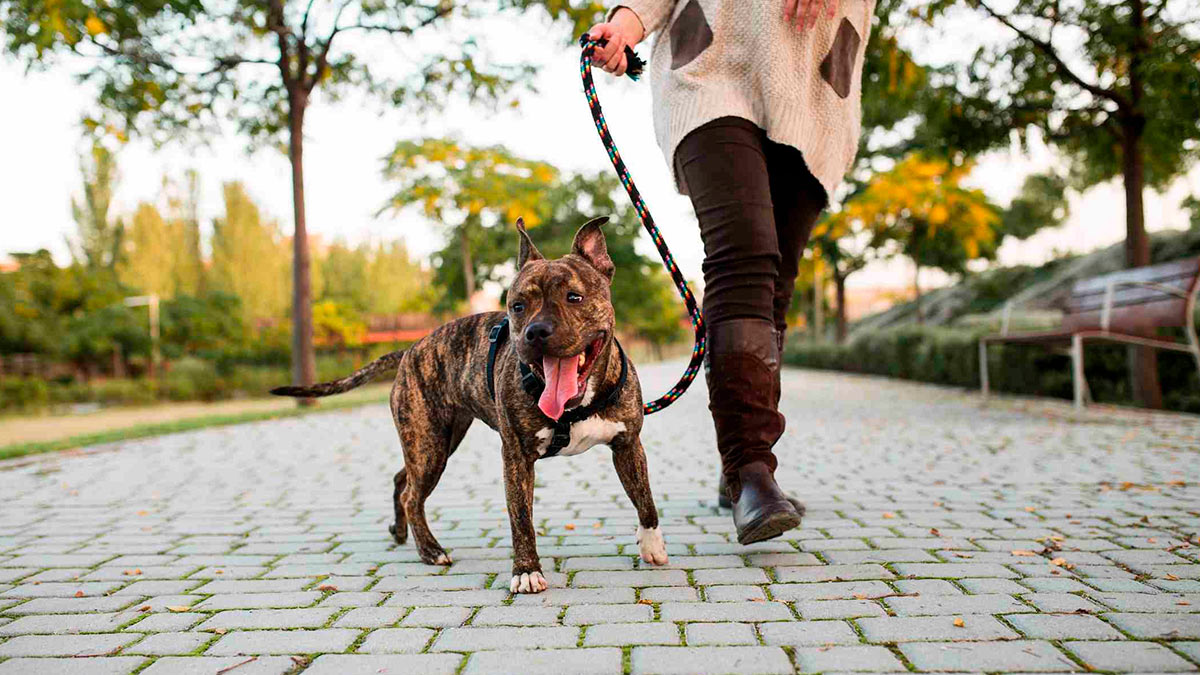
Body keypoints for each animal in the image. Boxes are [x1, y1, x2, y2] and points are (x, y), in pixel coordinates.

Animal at [270, 218, 667, 590]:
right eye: (517, 306)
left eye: (574, 297)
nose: (535, 331)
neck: (576, 404)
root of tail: (410, 349)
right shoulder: (516, 457)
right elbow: (521, 519)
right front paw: (526, 572)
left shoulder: (628, 445)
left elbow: (645, 498)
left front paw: (652, 545)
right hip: (429, 445)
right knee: (413, 494)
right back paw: (430, 550)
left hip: (436, 442)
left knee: (403, 479)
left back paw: (401, 532)